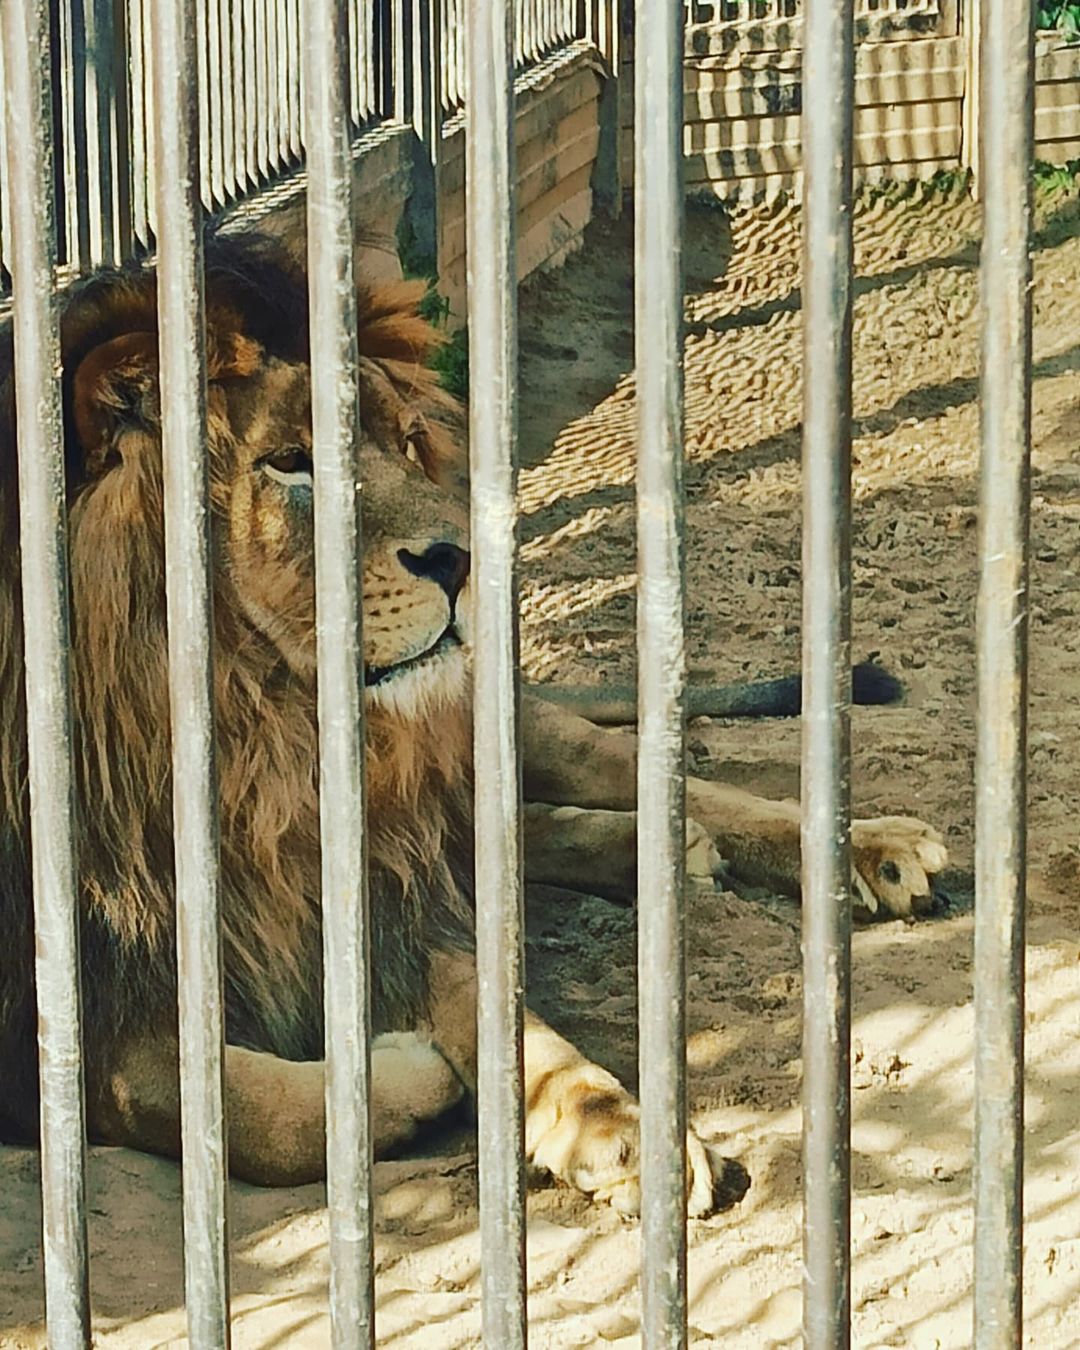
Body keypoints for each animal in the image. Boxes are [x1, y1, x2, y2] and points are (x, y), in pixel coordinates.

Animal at [0, 231, 946, 1216]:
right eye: (291, 461)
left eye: (410, 445)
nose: (462, 556)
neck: (257, 742)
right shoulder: (77, 1020)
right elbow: (240, 1109)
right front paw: (414, 1078)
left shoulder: (386, 889)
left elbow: (498, 1009)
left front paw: (616, 1125)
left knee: (643, 780)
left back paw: (861, 849)